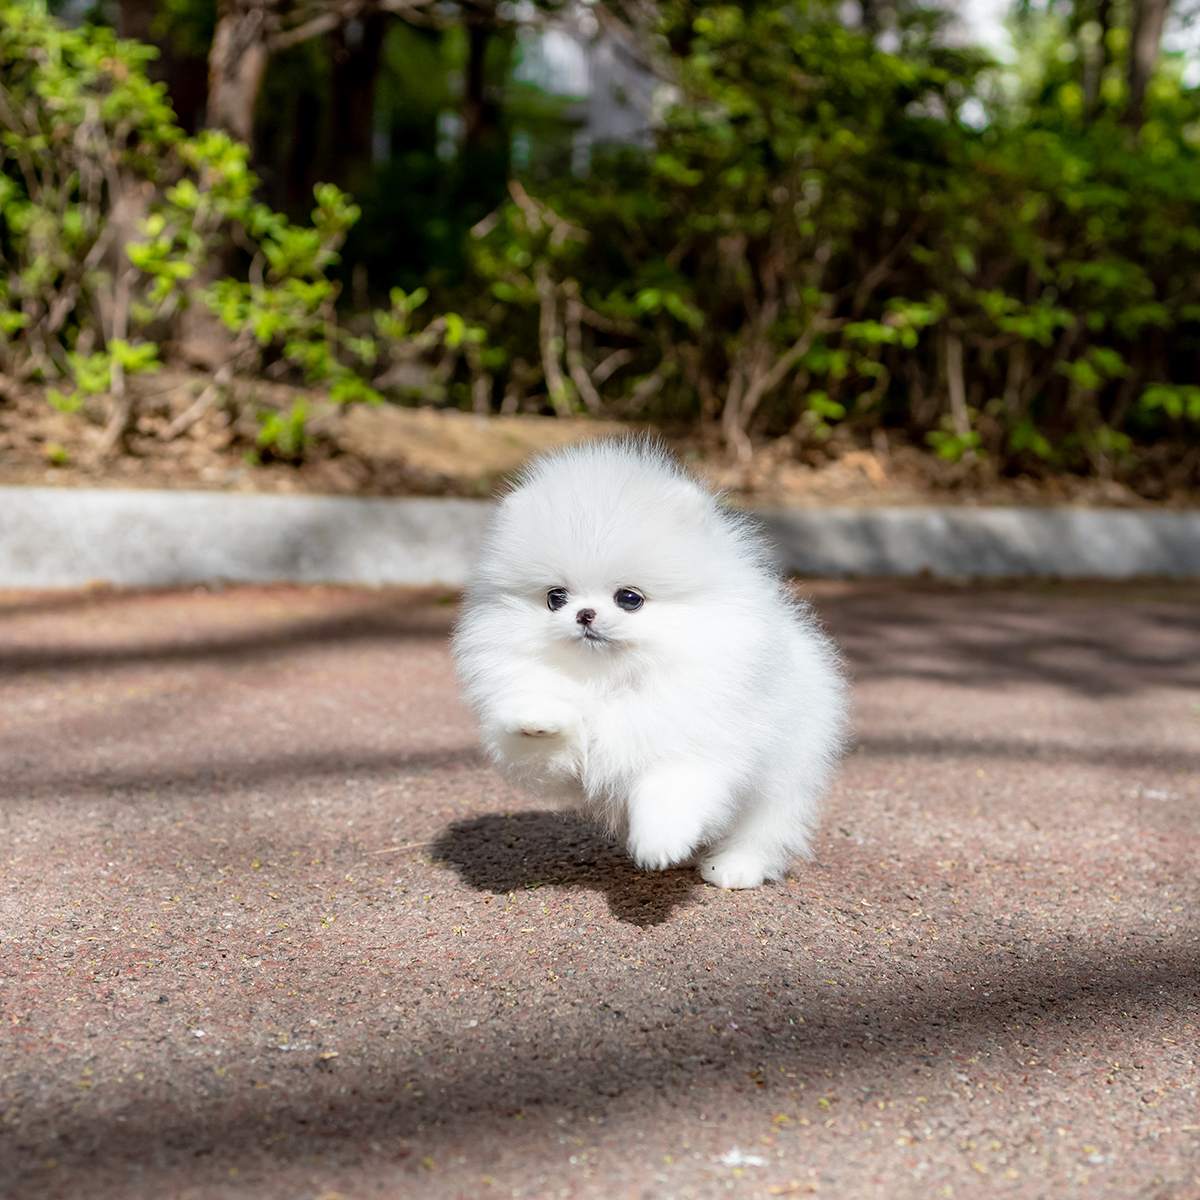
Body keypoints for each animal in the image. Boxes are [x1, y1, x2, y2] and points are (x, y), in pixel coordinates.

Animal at [448, 441, 844, 892]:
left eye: (629, 598)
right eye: (555, 597)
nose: (584, 614)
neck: (610, 680)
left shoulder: (692, 741)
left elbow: (667, 789)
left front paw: (659, 844)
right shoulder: (560, 762)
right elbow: (544, 737)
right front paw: (537, 715)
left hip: (785, 774)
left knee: (764, 827)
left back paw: (735, 867)